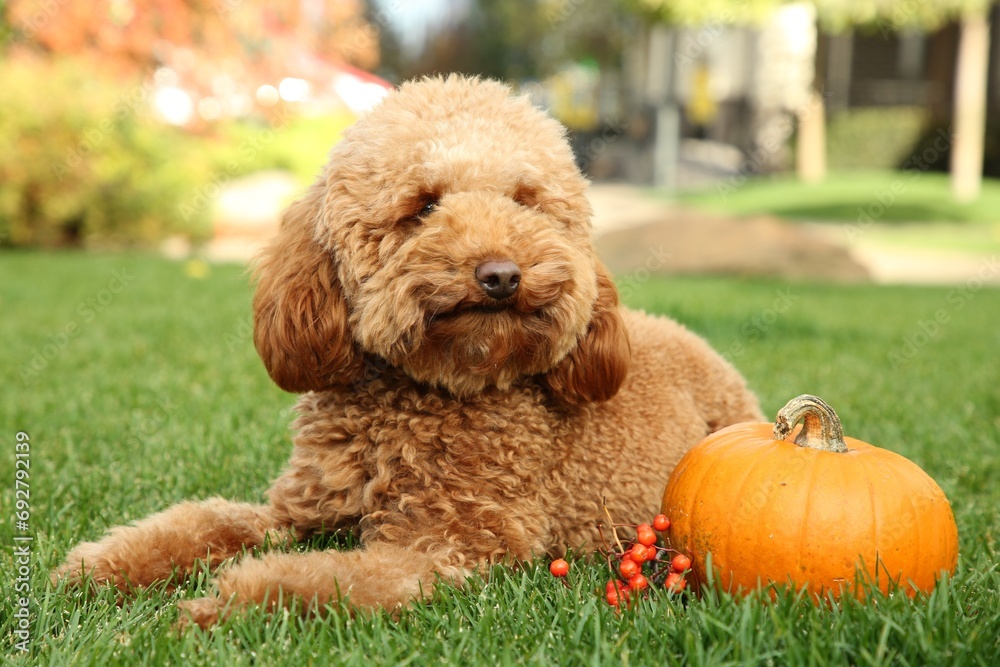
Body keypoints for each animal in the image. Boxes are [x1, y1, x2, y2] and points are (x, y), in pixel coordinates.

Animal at [52, 75, 756, 628]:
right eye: (422, 207)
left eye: (526, 203)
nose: (501, 274)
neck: (422, 398)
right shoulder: (296, 511)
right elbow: (205, 522)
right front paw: (100, 567)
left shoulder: (446, 545)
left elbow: (326, 579)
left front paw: (231, 601)